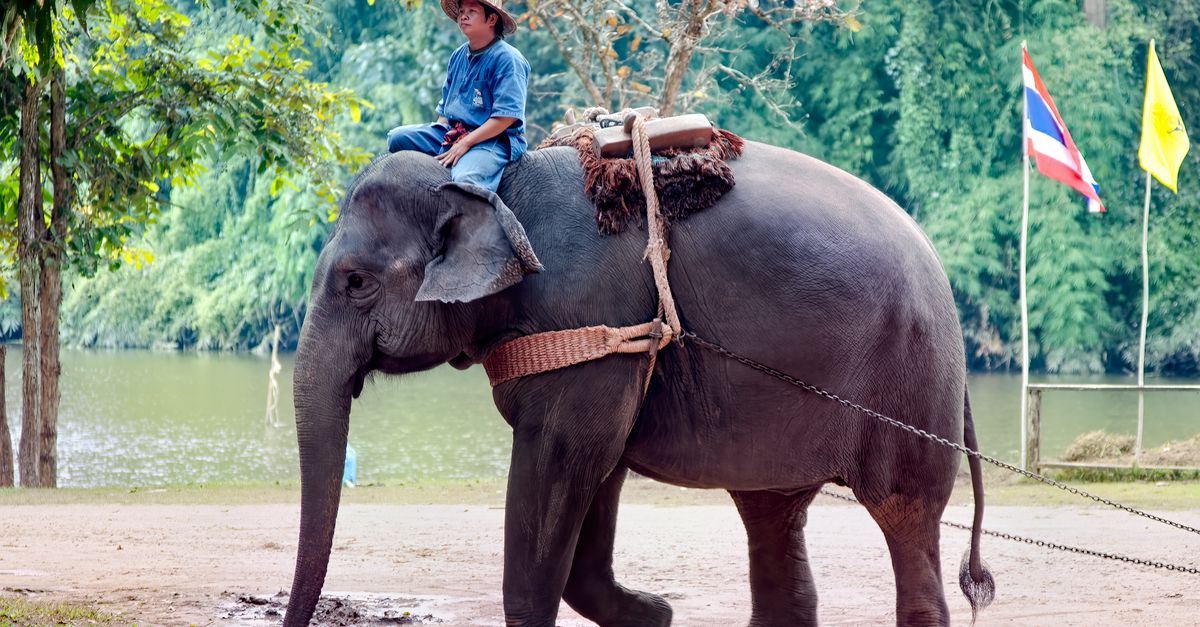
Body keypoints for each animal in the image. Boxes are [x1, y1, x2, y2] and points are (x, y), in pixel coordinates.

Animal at [283, 140, 995, 626]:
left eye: (355, 282)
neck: (493, 188)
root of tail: (941, 274)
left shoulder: (590, 319)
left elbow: (566, 460)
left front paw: (651, 611)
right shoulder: (611, 347)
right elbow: (595, 473)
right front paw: (655, 614)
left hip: (911, 380)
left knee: (905, 517)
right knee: (772, 516)